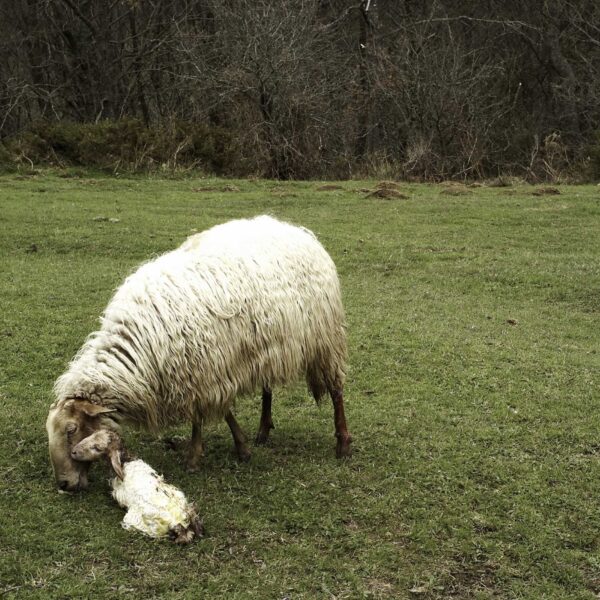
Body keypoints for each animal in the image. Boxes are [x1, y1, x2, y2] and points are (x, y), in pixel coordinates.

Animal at [49, 216, 354, 492]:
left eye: (71, 429)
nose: (64, 484)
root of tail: (295, 229)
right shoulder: (209, 368)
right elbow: (222, 410)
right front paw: (242, 446)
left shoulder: (201, 369)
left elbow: (200, 416)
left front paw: (195, 457)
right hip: (267, 343)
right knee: (267, 388)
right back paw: (263, 430)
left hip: (326, 339)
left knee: (336, 389)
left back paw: (342, 443)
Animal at [70, 428, 204, 540]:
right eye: (90, 435)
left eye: (97, 448)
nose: (73, 452)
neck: (126, 461)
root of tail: (179, 522)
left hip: (134, 521)